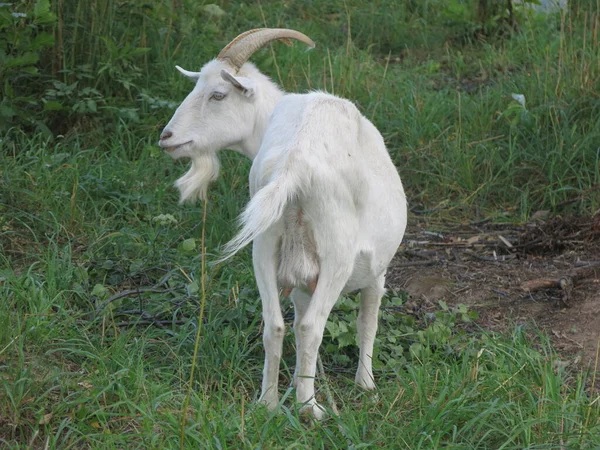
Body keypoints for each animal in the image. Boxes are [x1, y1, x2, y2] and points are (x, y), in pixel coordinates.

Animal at [158, 28, 408, 418]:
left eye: (217, 94)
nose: (167, 138)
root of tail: (296, 162)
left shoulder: (302, 281)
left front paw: (296, 382)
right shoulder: (376, 269)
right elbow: (368, 321)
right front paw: (366, 384)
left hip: (264, 243)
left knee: (274, 325)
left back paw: (269, 402)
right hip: (336, 253)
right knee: (311, 327)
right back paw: (309, 408)